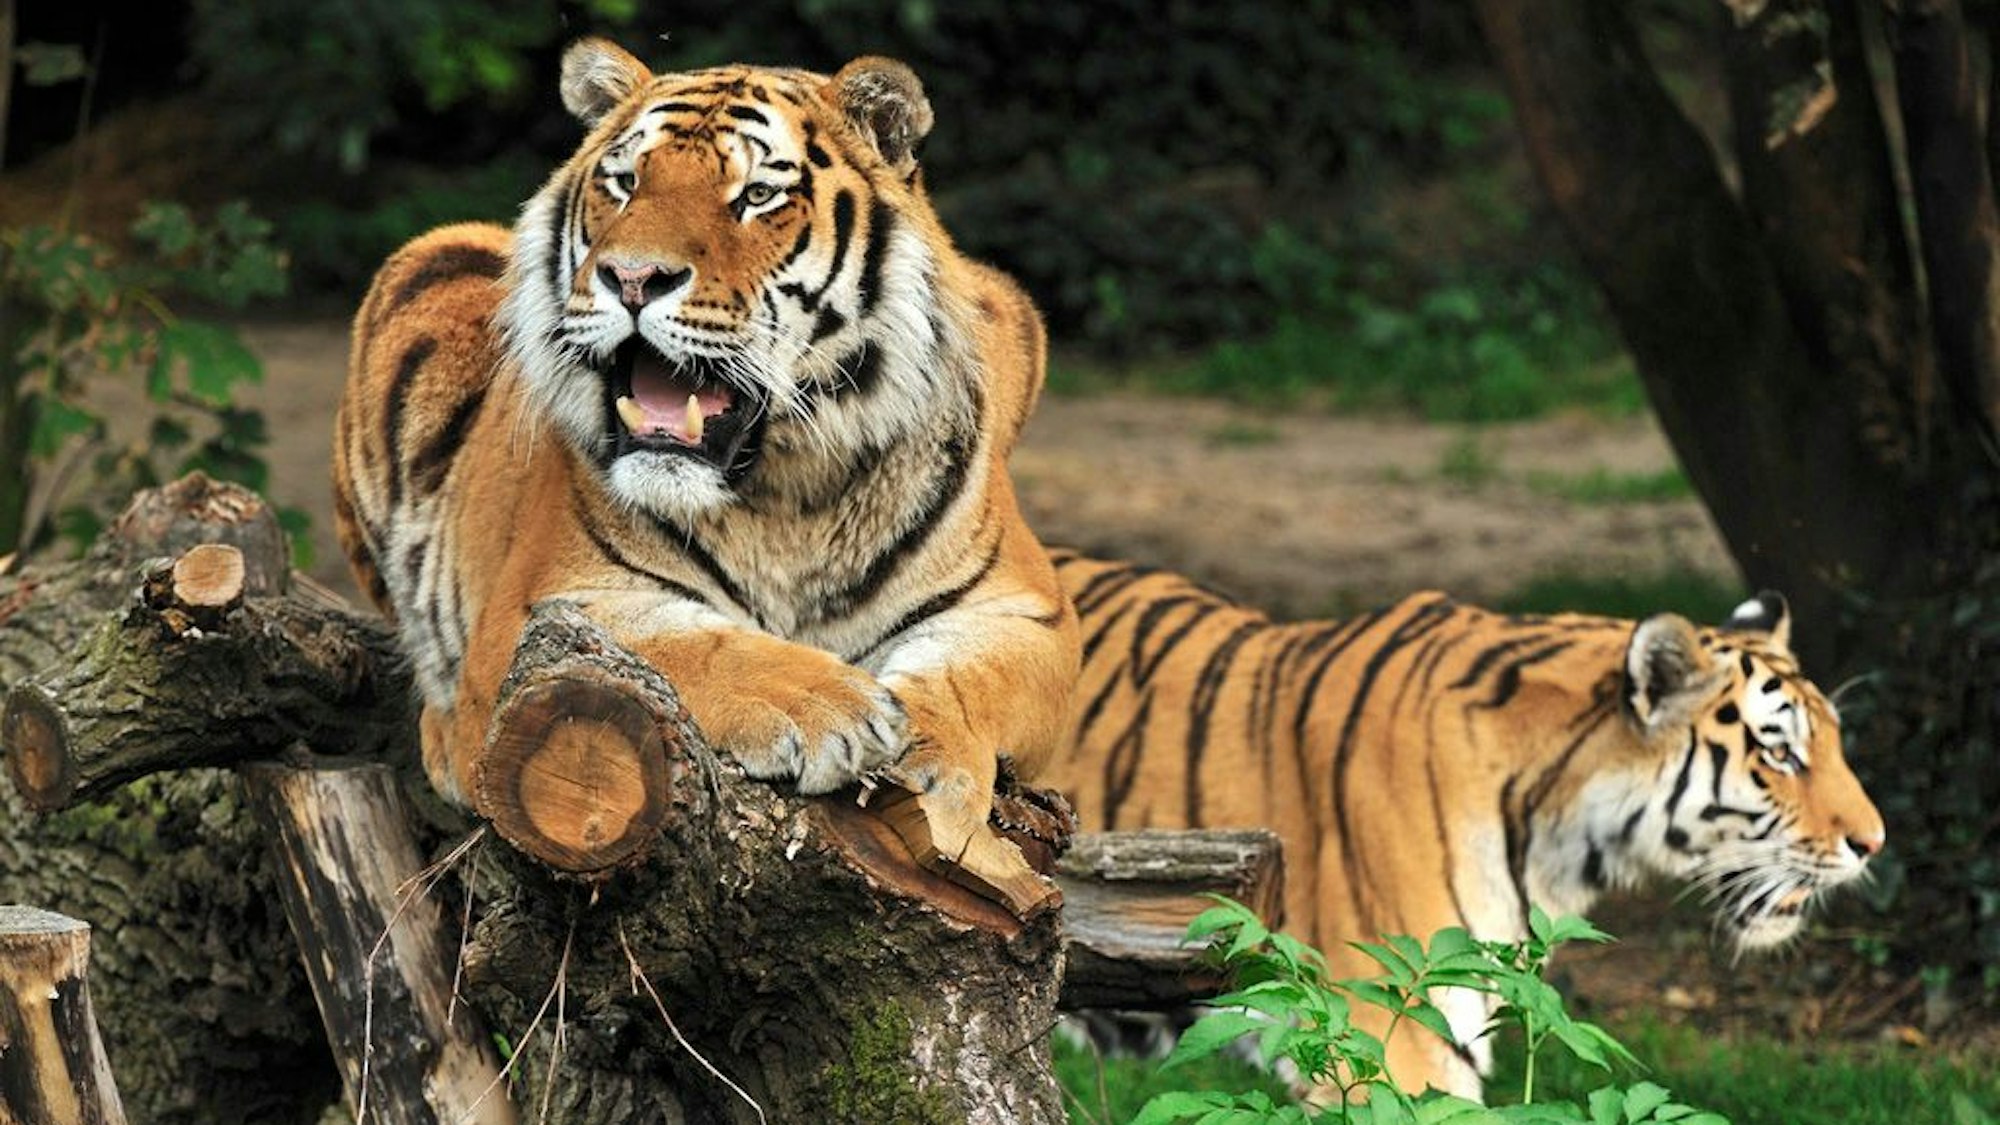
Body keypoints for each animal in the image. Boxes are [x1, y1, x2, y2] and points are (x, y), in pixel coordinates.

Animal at [332, 37, 1079, 907]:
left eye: (756, 196)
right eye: (626, 183)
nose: (631, 277)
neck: (791, 496)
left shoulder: (1032, 614)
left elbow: (969, 681)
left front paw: (931, 761)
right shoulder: (540, 606)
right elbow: (691, 646)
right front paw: (831, 706)